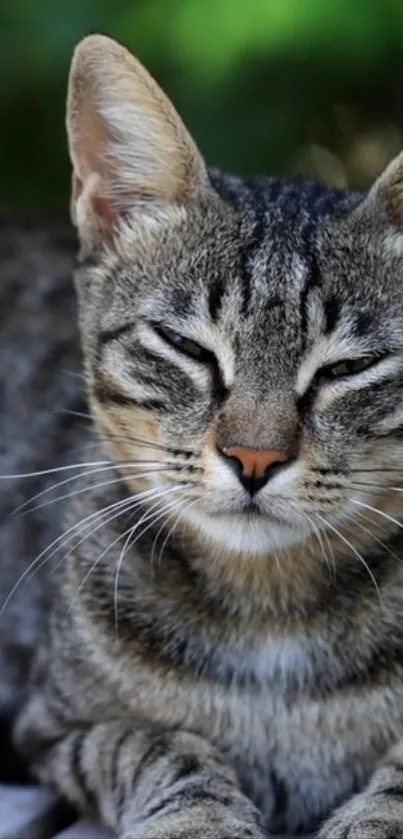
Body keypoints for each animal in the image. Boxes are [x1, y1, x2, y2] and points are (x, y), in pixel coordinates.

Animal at [3, 32, 403, 839]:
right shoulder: (58, 729)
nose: (254, 457)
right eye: (186, 346)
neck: (270, 606)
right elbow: (159, 744)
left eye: (349, 367)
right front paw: (197, 818)